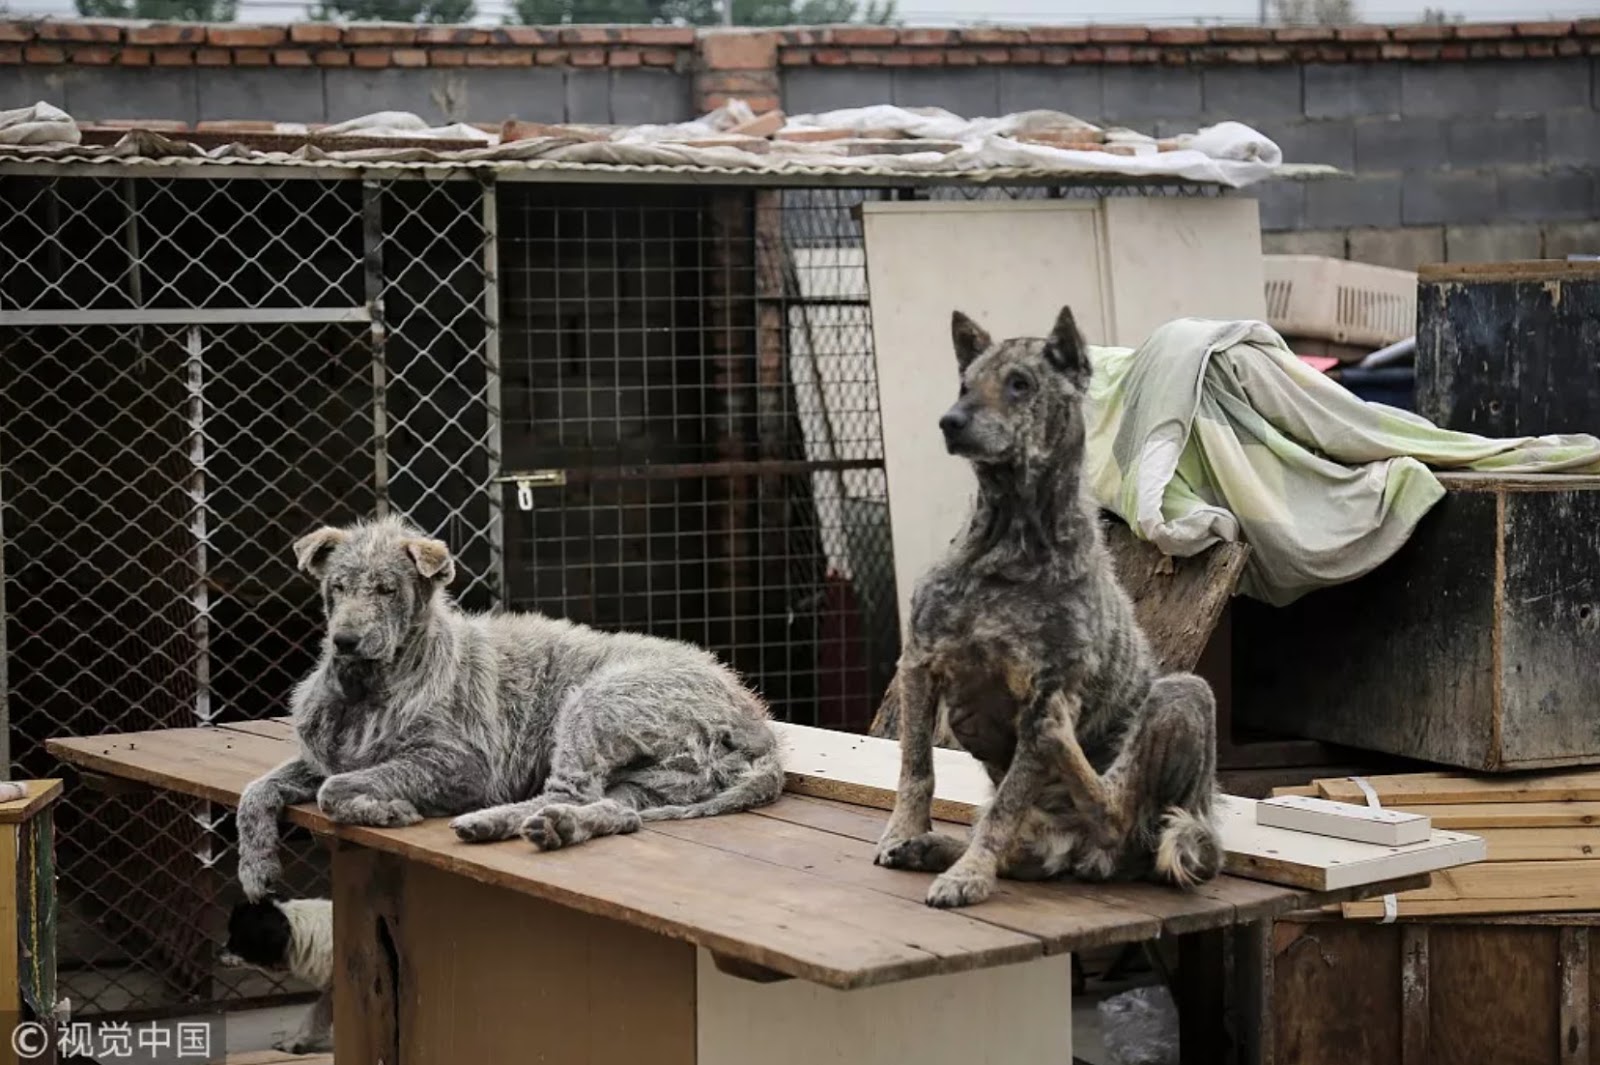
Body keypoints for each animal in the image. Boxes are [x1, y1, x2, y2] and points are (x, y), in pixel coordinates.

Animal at [238, 514, 787, 895]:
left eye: (387, 589)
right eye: (337, 586)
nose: (345, 641)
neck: (369, 689)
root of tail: (759, 728)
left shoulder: (462, 765)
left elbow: (334, 788)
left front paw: (384, 809)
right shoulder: (323, 756)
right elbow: (257, 789)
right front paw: (256, 868)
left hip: (595, 703)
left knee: (572, 792)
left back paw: (510, 821)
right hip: (656, 781)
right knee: (616, 811)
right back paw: (539, 827)